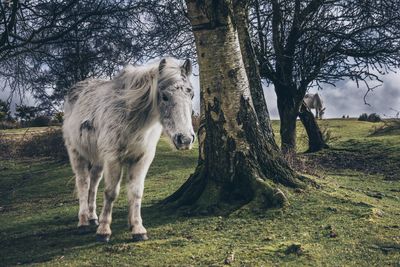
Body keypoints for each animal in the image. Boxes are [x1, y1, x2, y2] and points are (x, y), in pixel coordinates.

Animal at [62, 58, 195, 243]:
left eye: (192, 95)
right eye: (165, 96)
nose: (185, 139)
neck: (133, 119)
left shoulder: (142, 159)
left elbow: (136, 192)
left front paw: (138, 229)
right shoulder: (113, 159)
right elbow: (111, 193)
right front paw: (104, 231)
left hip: (98, 161)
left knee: (93, 183)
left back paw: (92, 217)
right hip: (77, 154)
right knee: (83, 182)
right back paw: (83, 222)